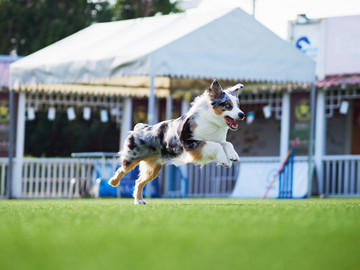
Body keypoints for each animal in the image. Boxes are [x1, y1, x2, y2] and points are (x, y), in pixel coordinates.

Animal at [108, 79, 246, 205]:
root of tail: (140, 128)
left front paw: (233, 156)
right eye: (227, 105)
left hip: (154, 169)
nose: (242, 114)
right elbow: (216, 146)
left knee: (139, 181)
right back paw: (113, 182)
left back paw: (139, 200)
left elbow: (226, 143)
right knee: (122, 169)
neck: (211, 120)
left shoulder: (213, 139)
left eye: (238, 105)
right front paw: (225, 160)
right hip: (132, 158)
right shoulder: (190, 144)